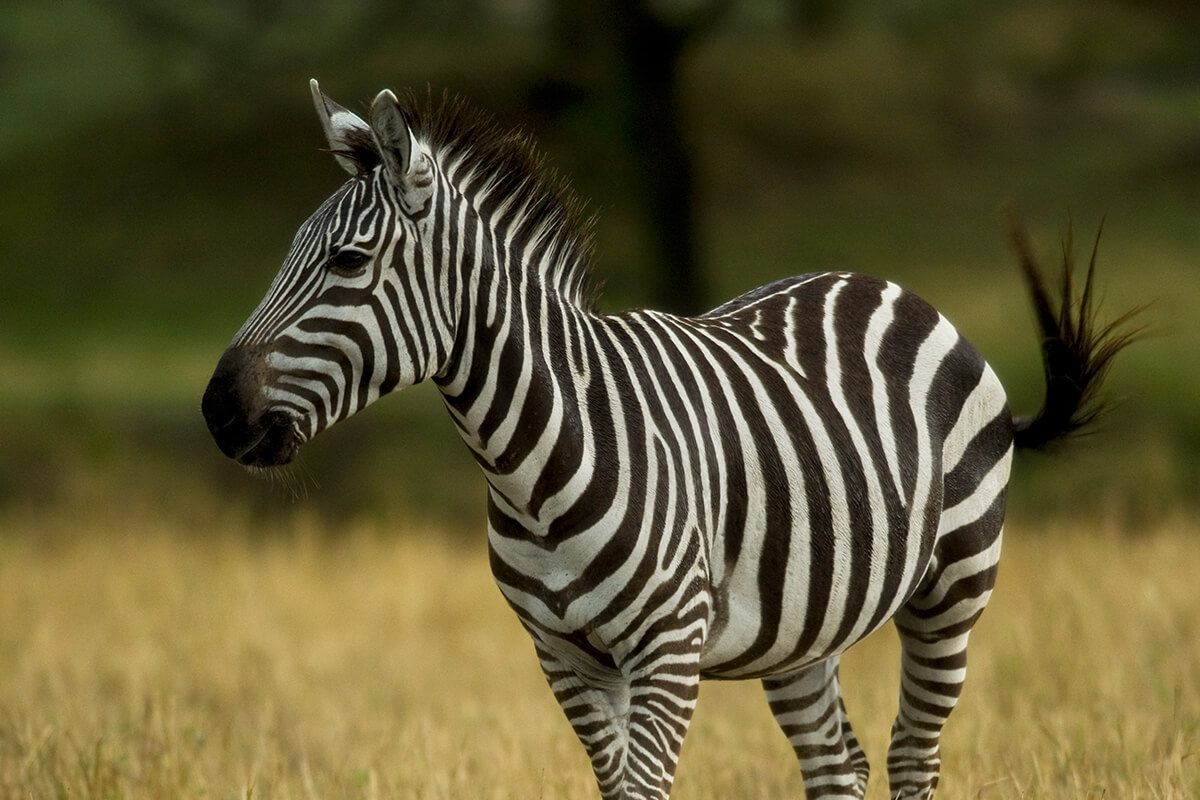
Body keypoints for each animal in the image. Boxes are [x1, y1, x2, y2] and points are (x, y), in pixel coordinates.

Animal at [202, 81, 1138, 799]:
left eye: (349, 264)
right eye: (291, 253)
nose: (217, 412)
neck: (533, 462)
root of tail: (890, 286)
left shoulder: (668, 646)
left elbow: (646, 789)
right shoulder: (565, 656)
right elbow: (617, 786)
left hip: (956, 586)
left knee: (913, 755)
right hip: (802, 630)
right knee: (841, 764)